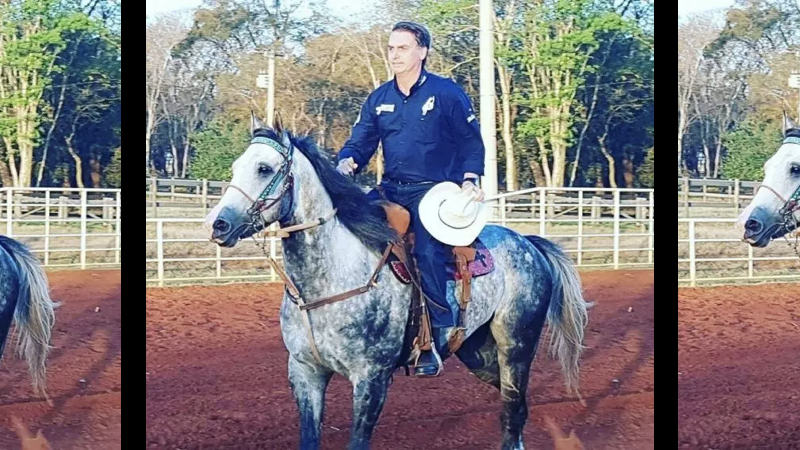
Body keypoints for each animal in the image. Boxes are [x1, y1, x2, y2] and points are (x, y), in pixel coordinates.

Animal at [205, 113, 590, 450]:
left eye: (264, 168)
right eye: (236, 167)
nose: (217, 224)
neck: (328, 282)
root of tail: (528, 243)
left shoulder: (371, 379)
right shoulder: (305, 373)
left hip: (516, 345)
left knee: (514, 409)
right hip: (476, 351)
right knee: (514, 404)